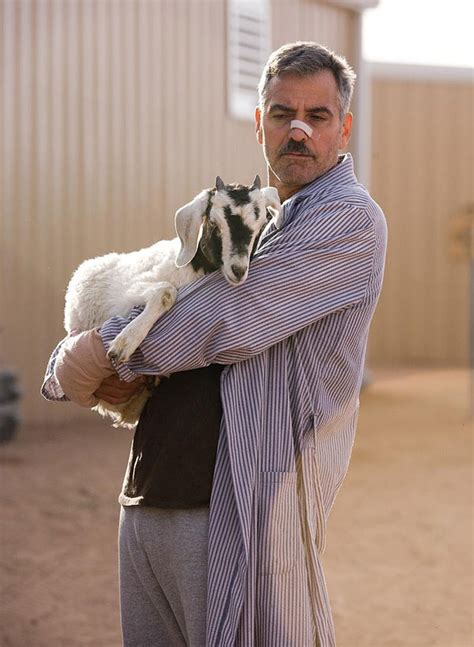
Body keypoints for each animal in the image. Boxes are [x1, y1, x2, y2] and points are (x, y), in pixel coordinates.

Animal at [63, 177, 282, 428]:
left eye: (262, 223)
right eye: (214, 223)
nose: (238, 270)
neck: (194, 269)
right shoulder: (129, 294)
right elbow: (166, 292)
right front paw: (123, 344)